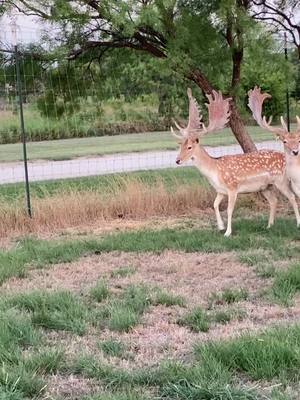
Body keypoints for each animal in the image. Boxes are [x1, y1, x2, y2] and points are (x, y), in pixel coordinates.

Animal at [173, 89, 300, 236]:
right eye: (180, 146)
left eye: (189, 147)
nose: (177, 160)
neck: (214, 170)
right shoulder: (220, 191)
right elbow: (214, 205)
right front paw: (220, 226)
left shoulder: (232, 188)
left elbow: (229, 210)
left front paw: (227, 232)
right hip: (265, 186)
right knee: (274, 201)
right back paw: (269, 225)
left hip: (282, 181)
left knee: (292, 197)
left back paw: (297, 223)